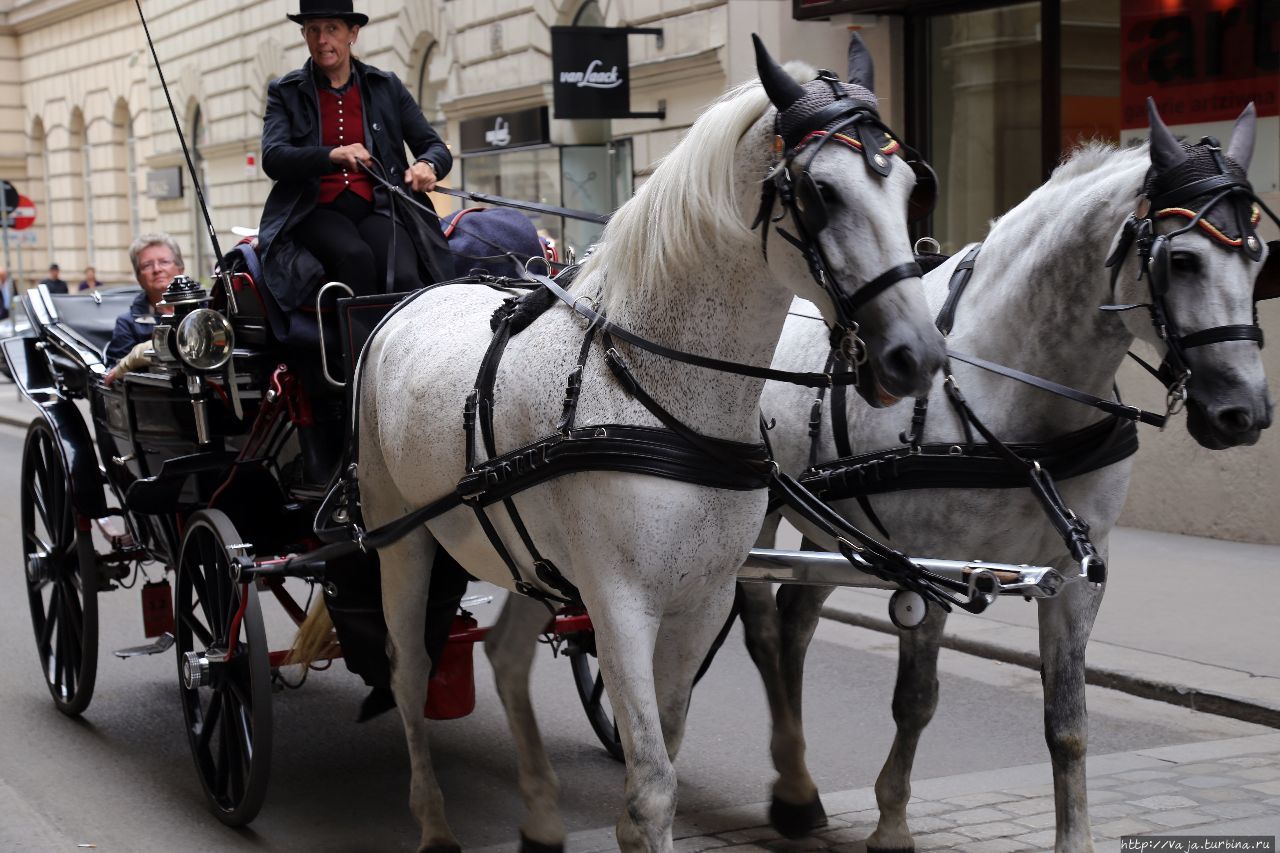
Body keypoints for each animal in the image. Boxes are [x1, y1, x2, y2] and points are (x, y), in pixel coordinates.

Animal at [360, 38, 952, 850]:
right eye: (820, 193)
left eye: (913, 190)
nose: (915, 355)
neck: (663, 395)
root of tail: (412, 299)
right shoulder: (619, 604)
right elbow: (651, 789)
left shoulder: (699, 600)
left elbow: (662, 757)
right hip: (402, 539)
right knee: (409, 669)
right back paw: (433, 820)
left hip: (534, 563)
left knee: (504, 658)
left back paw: (540, 812)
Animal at [742, 101, 1269, 850]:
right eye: (1184, 258)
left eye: (1260, 257)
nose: (1242, 413)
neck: (1012, 384)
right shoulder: (932, 567)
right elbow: (917, 700)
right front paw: (892, 822)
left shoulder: (1076, 574)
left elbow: (1068, 722)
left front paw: (1074, 837)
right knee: (760, 626)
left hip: (831, 522)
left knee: (795, 621)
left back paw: (801, 785)